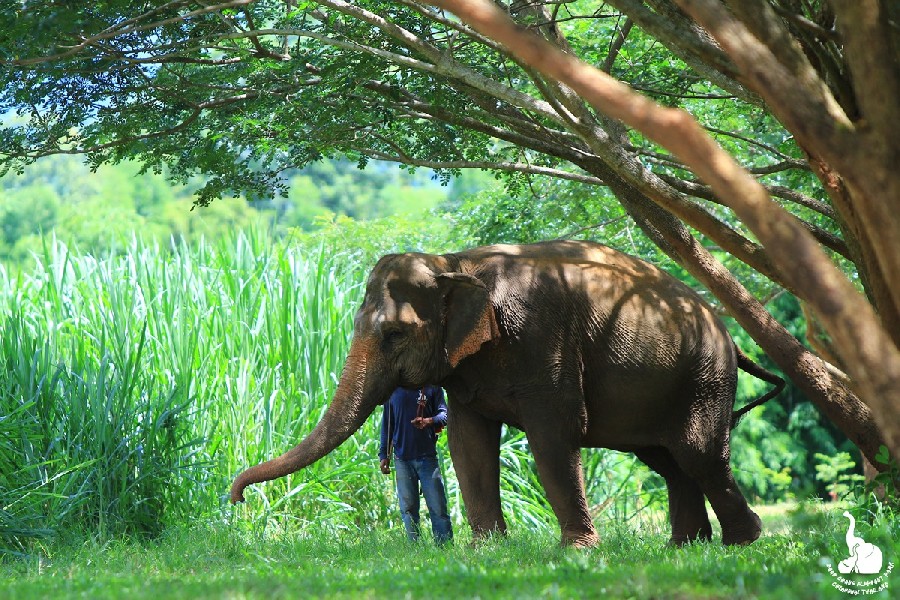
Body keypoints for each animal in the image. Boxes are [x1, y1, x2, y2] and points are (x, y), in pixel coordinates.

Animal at [230, 240, 780, 548]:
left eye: (394, 334)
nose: (236, 499)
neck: (454, 261)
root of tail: (730, 335)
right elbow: (467, 443)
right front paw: (486, 550)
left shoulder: (545, 340)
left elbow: (553, 437)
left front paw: (577, 551)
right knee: (669, 461)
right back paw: (685, 548)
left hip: (703, 377)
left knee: (698, 455)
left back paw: (742, 542)